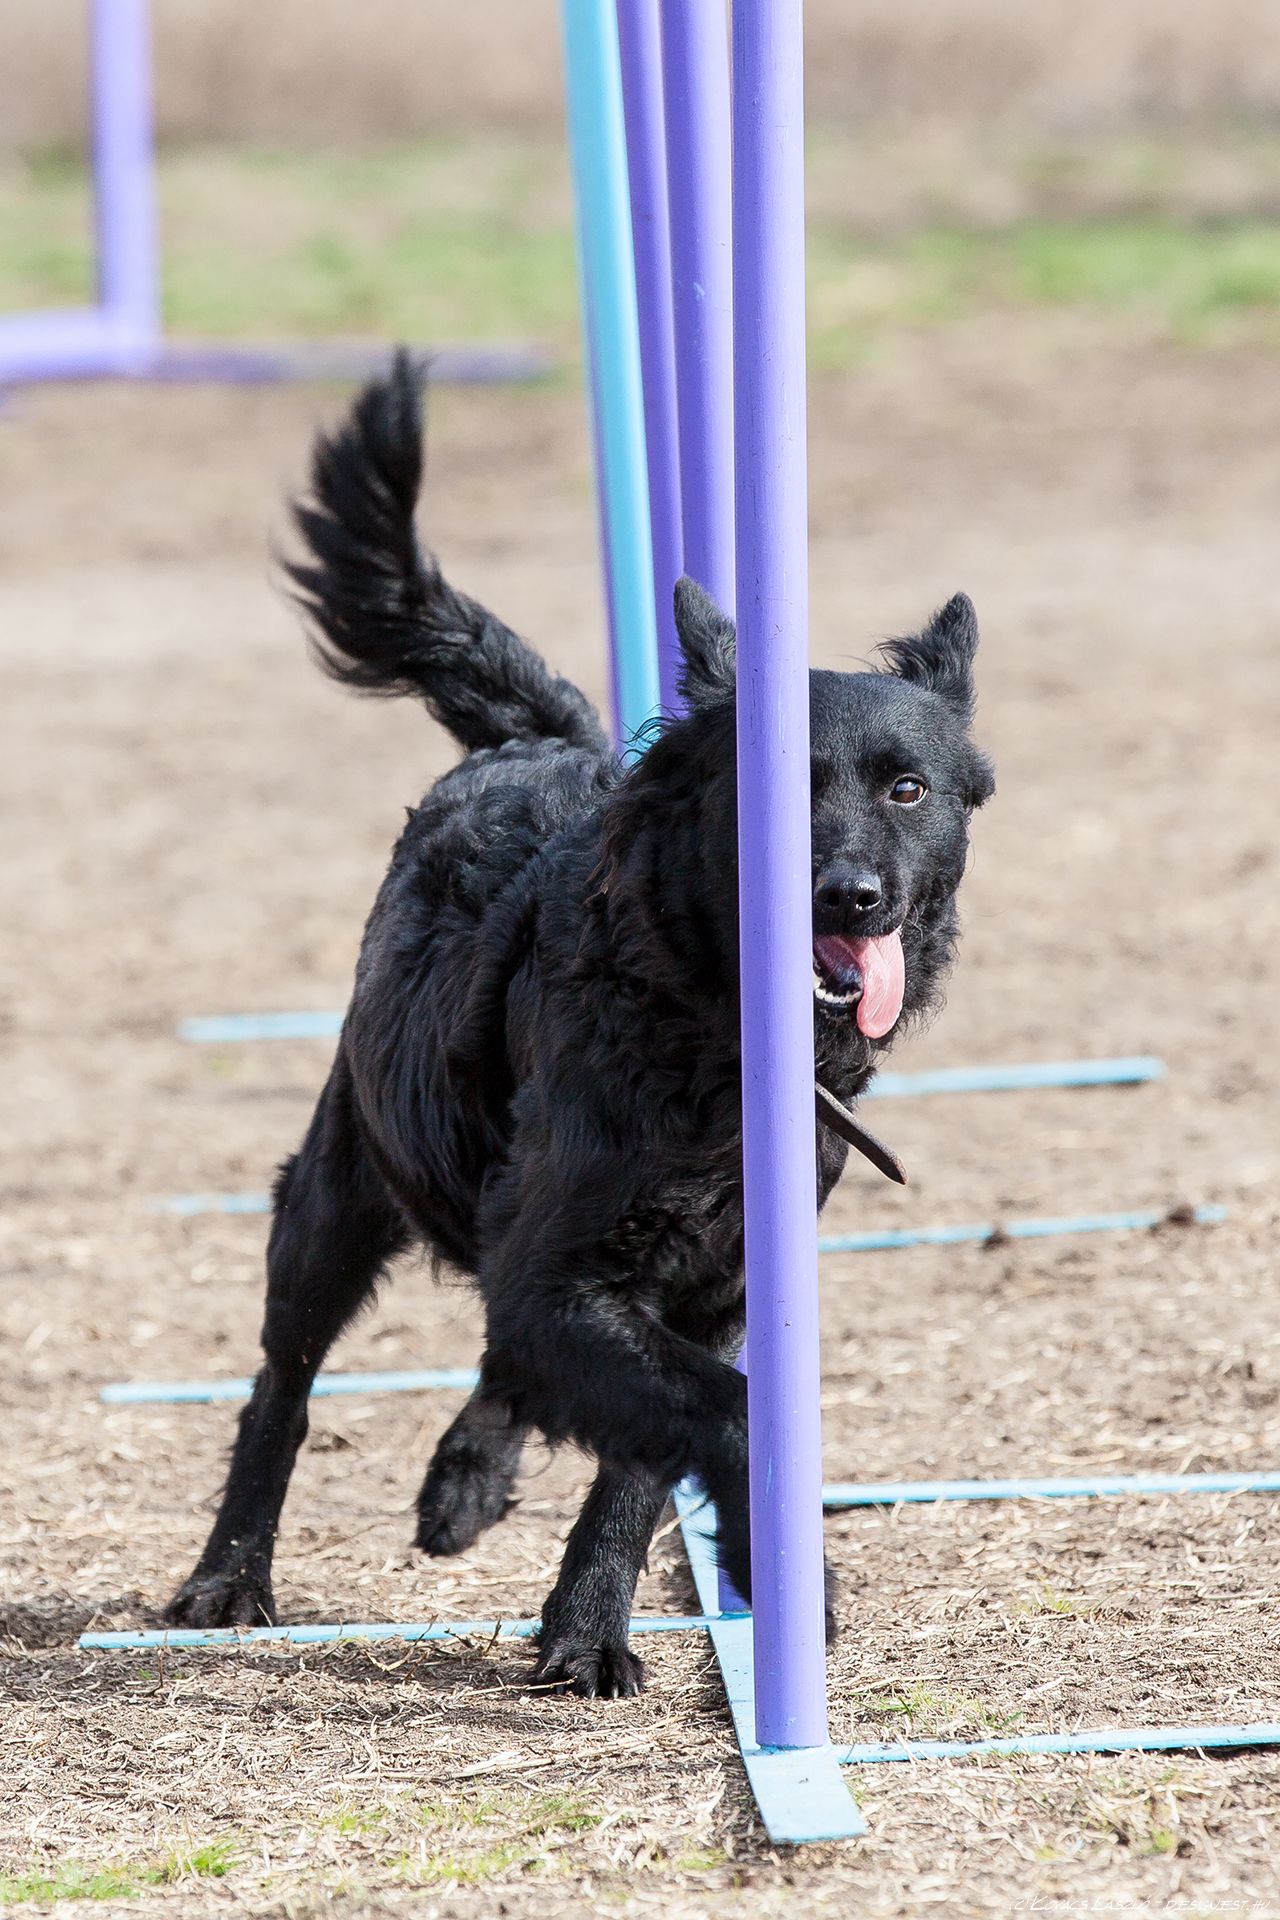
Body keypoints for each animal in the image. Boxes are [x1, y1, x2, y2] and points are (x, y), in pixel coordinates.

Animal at [165, 356, 994, 1697]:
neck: (700, 1030)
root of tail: (532, 736)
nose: (848, 897)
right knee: (280, 1388)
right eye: (766, 795)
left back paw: (465, 1478)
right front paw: (779, 1570)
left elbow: (644, 1458)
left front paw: (588, 1620)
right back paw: (229, 1576)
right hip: (334, 1198)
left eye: (905, 789)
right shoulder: (565, 1269)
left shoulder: (710, 1287)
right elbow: (716, 1413)